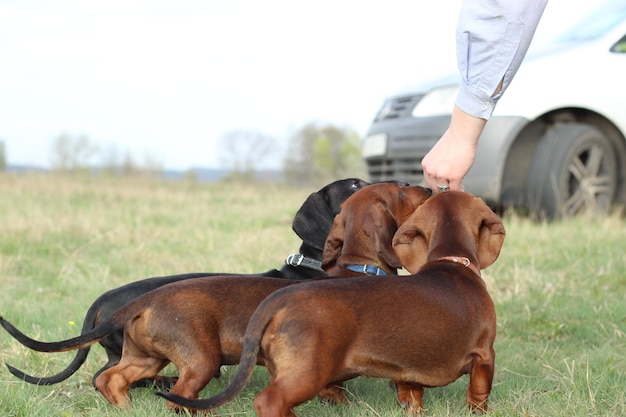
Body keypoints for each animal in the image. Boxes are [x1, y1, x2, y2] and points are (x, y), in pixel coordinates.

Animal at [158, 191, 504, 412]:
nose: (435, 185)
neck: (450, 262)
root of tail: (277, 301)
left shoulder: (407, 374)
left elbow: (411, 398)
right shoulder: (484, 355)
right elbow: (479, 394)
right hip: (306, 372)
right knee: (267, 401)